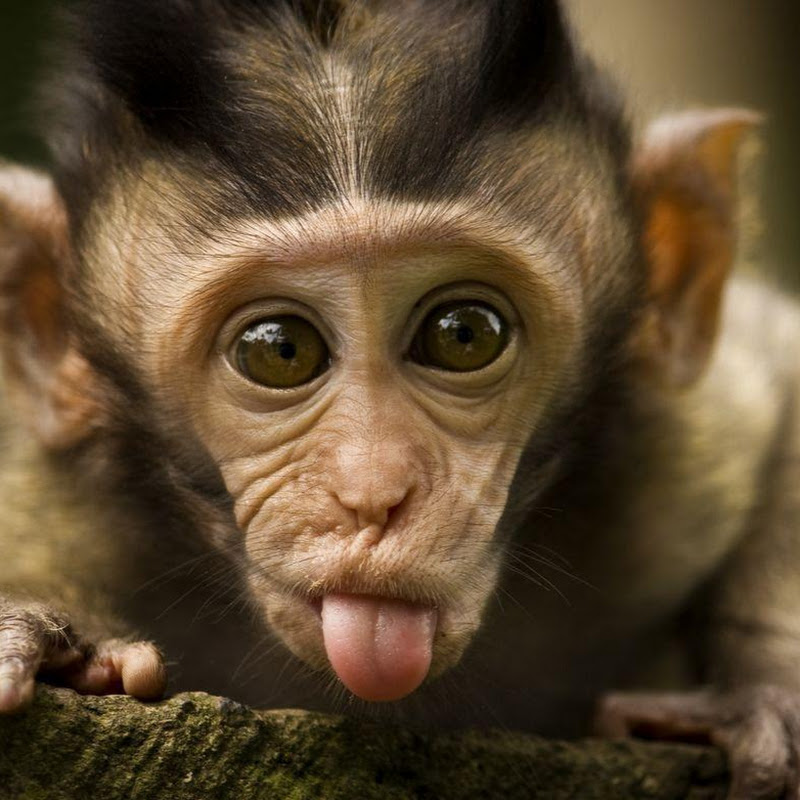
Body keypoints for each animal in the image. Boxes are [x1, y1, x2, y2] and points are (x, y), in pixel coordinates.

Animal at [0, 1, 798, 797]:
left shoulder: (681, 446)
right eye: (279, 350)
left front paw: (758, 693)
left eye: (463, 334)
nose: (373, 493)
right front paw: (51, 635)